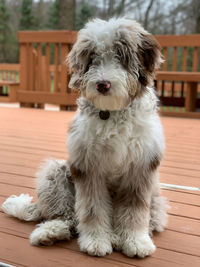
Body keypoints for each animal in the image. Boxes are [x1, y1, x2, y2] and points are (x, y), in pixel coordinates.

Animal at [1, 17, 167, 258]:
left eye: (121, 55)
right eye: (93, 58)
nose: (102, 84)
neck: (112, 113)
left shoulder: (140, 168)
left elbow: (134, 210)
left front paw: (136, 241)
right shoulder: (87, 165)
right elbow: (92, 208)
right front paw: (96, 241)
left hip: (156, 199)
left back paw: (115, 236)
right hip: (56, 173)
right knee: (69, 216)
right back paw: (51, 232)